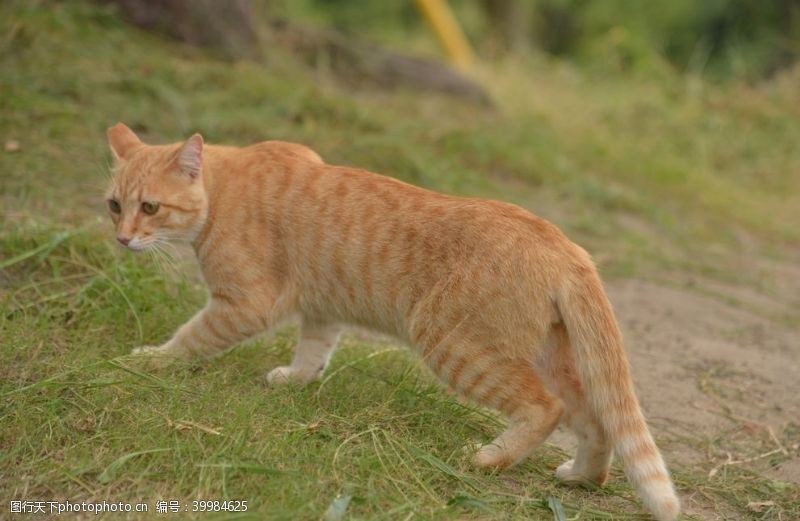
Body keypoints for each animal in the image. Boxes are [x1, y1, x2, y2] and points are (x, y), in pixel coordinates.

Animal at [106, 123, 680, 520]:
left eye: (150, 207)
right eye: (114, 205)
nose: (122, 239)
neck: (222, 190)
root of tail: (566, 245)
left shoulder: (245, 303)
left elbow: (190, 337)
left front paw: (149, 362)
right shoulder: (321, 307)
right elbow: (313, 351)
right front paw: (295, 380)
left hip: (454, 344)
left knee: (546, 408)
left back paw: (488, 459)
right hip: (552, 358)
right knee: (598, 420)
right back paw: (581, 477)